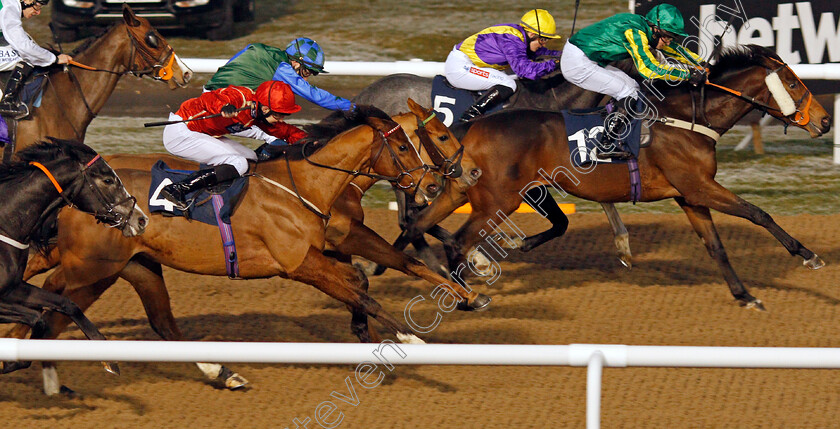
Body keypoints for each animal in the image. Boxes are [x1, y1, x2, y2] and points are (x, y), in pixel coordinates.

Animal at [0, 139, 147, 372]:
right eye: (108, 179)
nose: (141, 220)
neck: (5, 222)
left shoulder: (13, 288)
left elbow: (64, 305)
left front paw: (109, 358)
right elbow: (37, 316)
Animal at [392, 45, 828, 310]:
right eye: (792, 83)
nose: (825, 122)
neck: (688, 119)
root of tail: (472, 127)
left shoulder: (689, 195)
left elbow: (716, 246)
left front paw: (745, 295)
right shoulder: (700, 186)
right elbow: (758, 213)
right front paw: (807, 255)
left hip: (464, 190)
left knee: (419, 223)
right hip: (500, 198)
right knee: (457, 240)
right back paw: (467, 294)